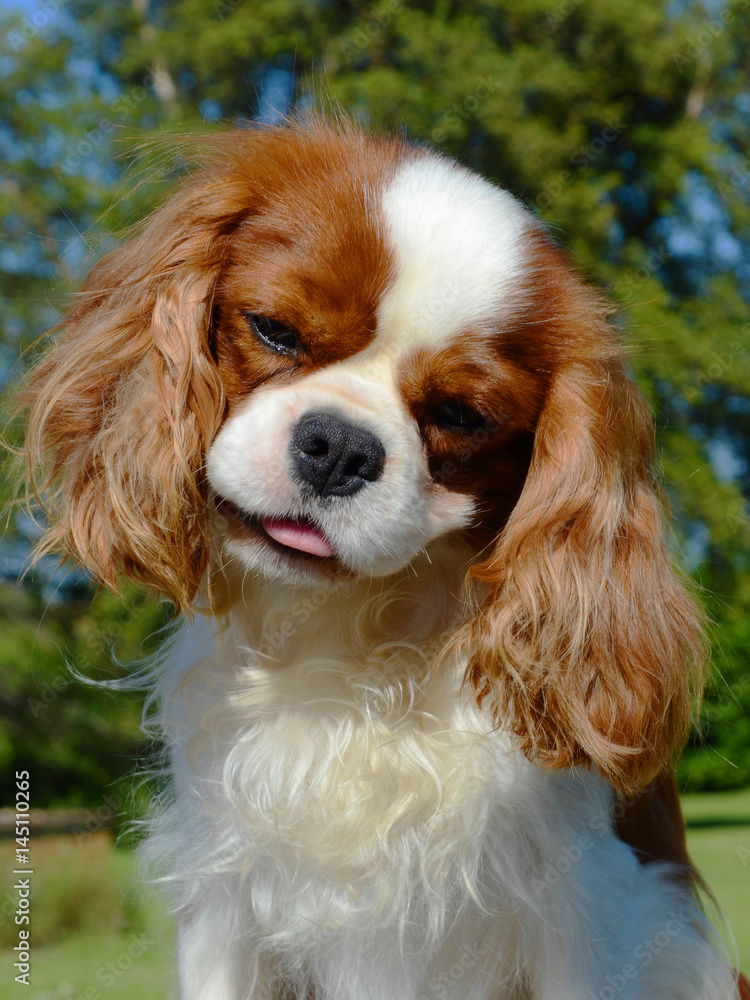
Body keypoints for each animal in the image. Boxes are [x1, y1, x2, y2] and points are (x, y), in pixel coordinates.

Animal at [20, 123, 744, 1000]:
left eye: (461, 415)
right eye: (274, 330)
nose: (339, 447)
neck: (352, 639)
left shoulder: (595, 906)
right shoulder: (227, 901)